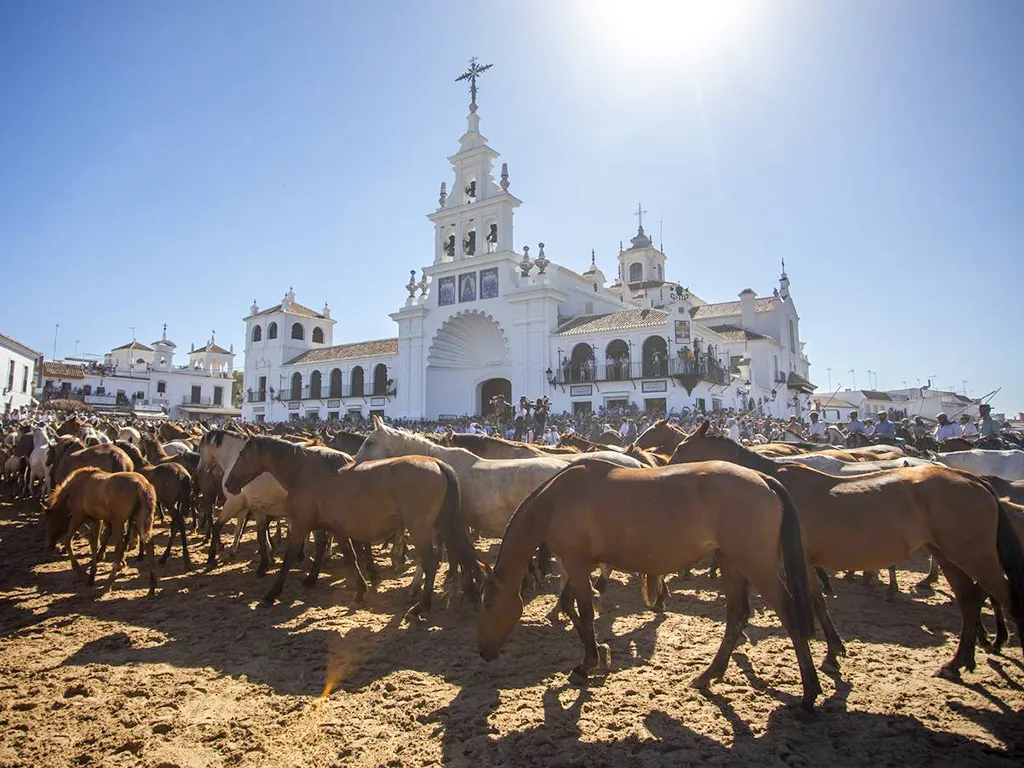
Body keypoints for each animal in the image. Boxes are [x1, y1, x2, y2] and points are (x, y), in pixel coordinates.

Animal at [43, 466, 157, 598]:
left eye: (48, 522)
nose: (48, 545)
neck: (75, 487)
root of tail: (141, 484)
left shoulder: (77, 516)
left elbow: (68, 541)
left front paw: (82, 574)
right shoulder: (96, 520)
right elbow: (94, 544)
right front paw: (92, 575)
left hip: (118, 521)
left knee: (120, 547)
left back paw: (108, 584)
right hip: (138, 518)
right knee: (149, 545)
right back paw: (151, 588)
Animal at [224, 436, 479, 618]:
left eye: (242, 453)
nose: (228, 484)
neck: (304, 471)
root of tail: (438, 463)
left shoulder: (301, 524)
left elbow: (288, 559)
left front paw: (271, 594)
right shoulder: (337, 529)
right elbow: (351, 557)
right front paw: (360, 590)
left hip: (420, 529)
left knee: (430, 562)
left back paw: (421, 607)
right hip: (442, 524)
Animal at [473, 460, 823, 712]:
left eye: (488, 604)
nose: (483, 651)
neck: (556, 500)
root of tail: (763, 479)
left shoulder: (575, 563)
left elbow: (583, 611)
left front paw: (588, 663)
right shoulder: (579, 566)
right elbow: (572, 608)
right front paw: (599, 654)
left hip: (756, 566)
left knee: (789, 615)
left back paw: (809, 693)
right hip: (732, 563)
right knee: (736, 617)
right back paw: (709, 675)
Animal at [667, 421, 1024, 679]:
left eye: (682, 447)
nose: (663, 468)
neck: (768, 484)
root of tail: (975, 480)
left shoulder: (794, 559)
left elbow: (814, 599)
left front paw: (830, 649)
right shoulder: (801, 560)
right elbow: (818, 599)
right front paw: (834, 648)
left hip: (975, 555)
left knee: (1004, 596)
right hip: (948, 554)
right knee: (970, 600)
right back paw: (958, 660)